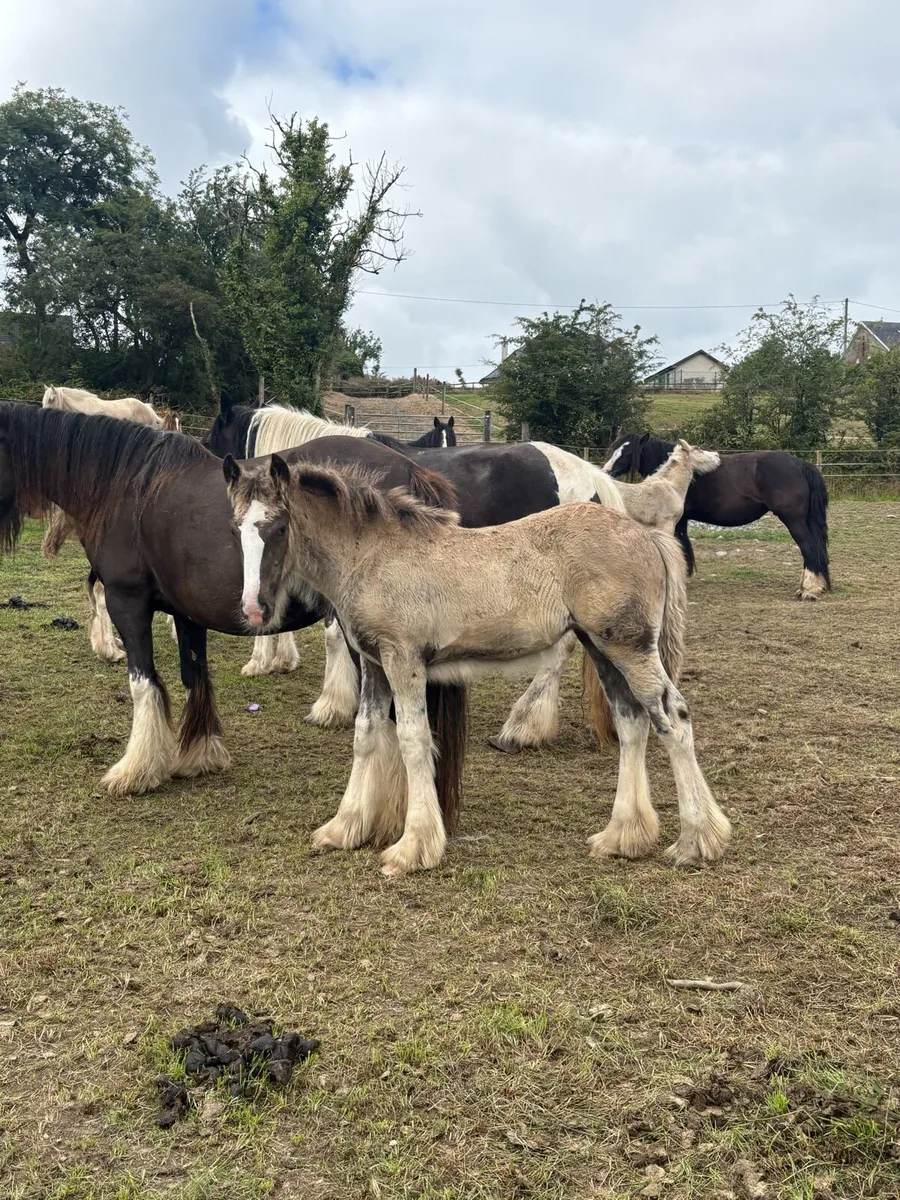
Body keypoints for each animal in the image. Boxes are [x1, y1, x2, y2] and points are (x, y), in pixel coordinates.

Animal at [0, 401, 465, 806]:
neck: (126, 485)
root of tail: (410, 470)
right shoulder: (185, 611)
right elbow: (193, 675)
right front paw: (198, 753)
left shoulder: (127, 603)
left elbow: (142, 683)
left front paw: (136, 769)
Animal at [204, 400, 628, 755]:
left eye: (211, 437)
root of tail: (587, 474)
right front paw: (281, 662)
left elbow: (332, 638)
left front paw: (328, 702)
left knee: (559, 651)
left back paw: (523, 727)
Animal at [225, 453, 731, 876]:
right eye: (236, 528)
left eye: (278, 526)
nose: (253, 610)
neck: (372, 555)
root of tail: (646, 535)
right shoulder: (373, 664)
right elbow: (365, 736)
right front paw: (342, 828)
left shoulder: (403, 660)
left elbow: (413, 740)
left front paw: (413, 848)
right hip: (602, 649)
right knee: (632, 724)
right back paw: (623, 836)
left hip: (631, 648)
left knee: (672, 718)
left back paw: (696, 840)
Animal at [603, 433, 831, 600]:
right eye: (612, 449)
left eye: (627, 453)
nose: (605, 472)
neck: (670, 481)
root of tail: (802, 465)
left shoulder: (677, 522)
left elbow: (680, 548)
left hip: (794, 520)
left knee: (808, 547)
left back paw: (809, 590)